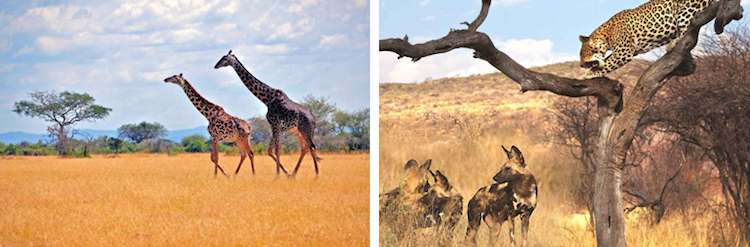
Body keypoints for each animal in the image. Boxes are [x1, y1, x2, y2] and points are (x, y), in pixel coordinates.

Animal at [580, 0, 716, 78]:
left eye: (582, 54)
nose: (581, 65)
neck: (606, 34)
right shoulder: (627, 51)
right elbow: (606, 61)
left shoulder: (623, 52)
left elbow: (607, 64)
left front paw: (587, 74)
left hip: (685, 11)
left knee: (688, 32)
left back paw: (673, 43)